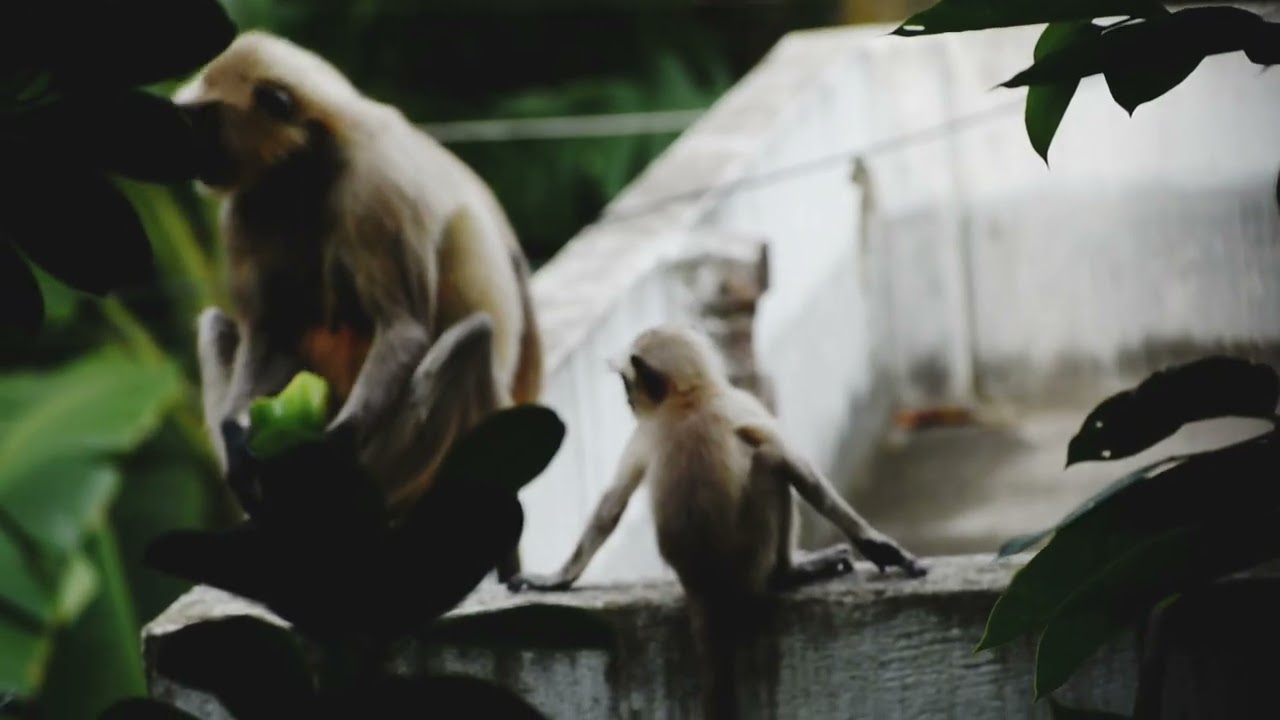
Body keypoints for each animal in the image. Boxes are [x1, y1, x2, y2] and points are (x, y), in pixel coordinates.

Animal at [175, 30, 542, 580]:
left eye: (202, 121)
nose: (191, 154)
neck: (306, 163)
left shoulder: (376, 184)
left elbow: (404, 329)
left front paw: (328, 452)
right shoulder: (247, 205)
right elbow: (265, 337)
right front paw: (242, 448)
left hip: (395, 469)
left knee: (470, 341)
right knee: (218, 326)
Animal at [506, 323, 927, 719]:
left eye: (627, 382)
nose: (627, 398)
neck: (689, 398)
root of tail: (703, 583)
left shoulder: (646, 431)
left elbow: (612, 505)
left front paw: (554, 579)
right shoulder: (740, 402)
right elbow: (801, 471)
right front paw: (878, 547)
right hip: (753, 554)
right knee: (771, 459)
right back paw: (791, 572)